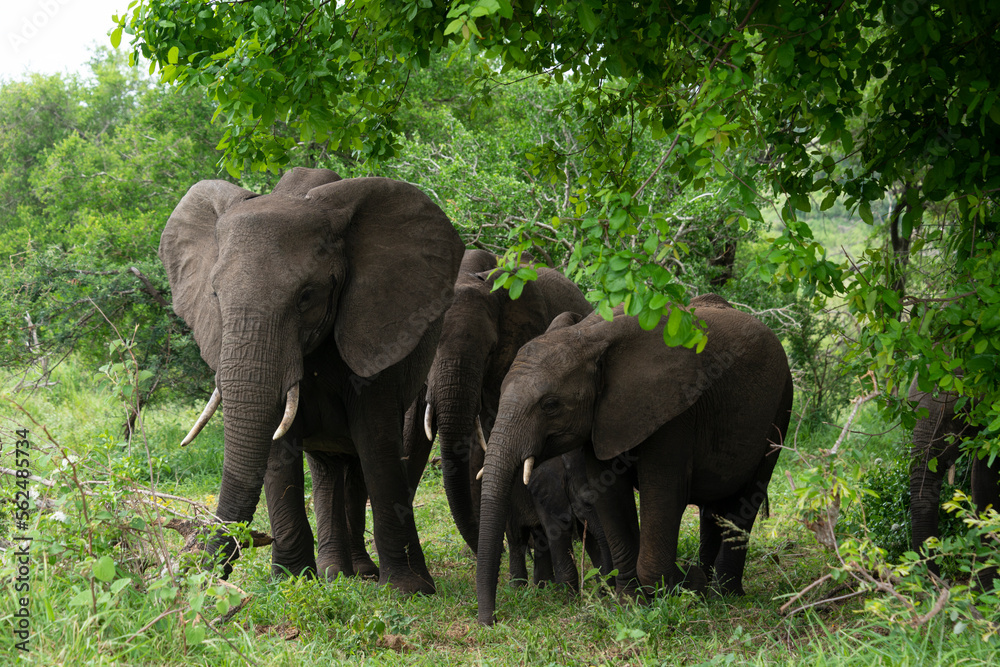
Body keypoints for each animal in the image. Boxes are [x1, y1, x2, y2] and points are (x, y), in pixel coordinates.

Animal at [161, 167, 464, 596]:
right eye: (215, 296)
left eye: (306, 296)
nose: (200, 573)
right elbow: (278, 447)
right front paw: (291, 582)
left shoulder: (377, 327)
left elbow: (376, 441)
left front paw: (409, 590)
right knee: (327, 468)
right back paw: (337, 572)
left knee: (365, 459)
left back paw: (361, 573)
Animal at [472, 294, 792, 624]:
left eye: (550, 405)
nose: (489, 622)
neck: (589, 337)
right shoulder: (601, 419)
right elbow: (610, 496)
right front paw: (630, 604)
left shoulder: (674, 411)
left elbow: (663, 493)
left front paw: (683, 587)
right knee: (714, 506)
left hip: (781, 403)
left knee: (748, 496)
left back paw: (723, 594)